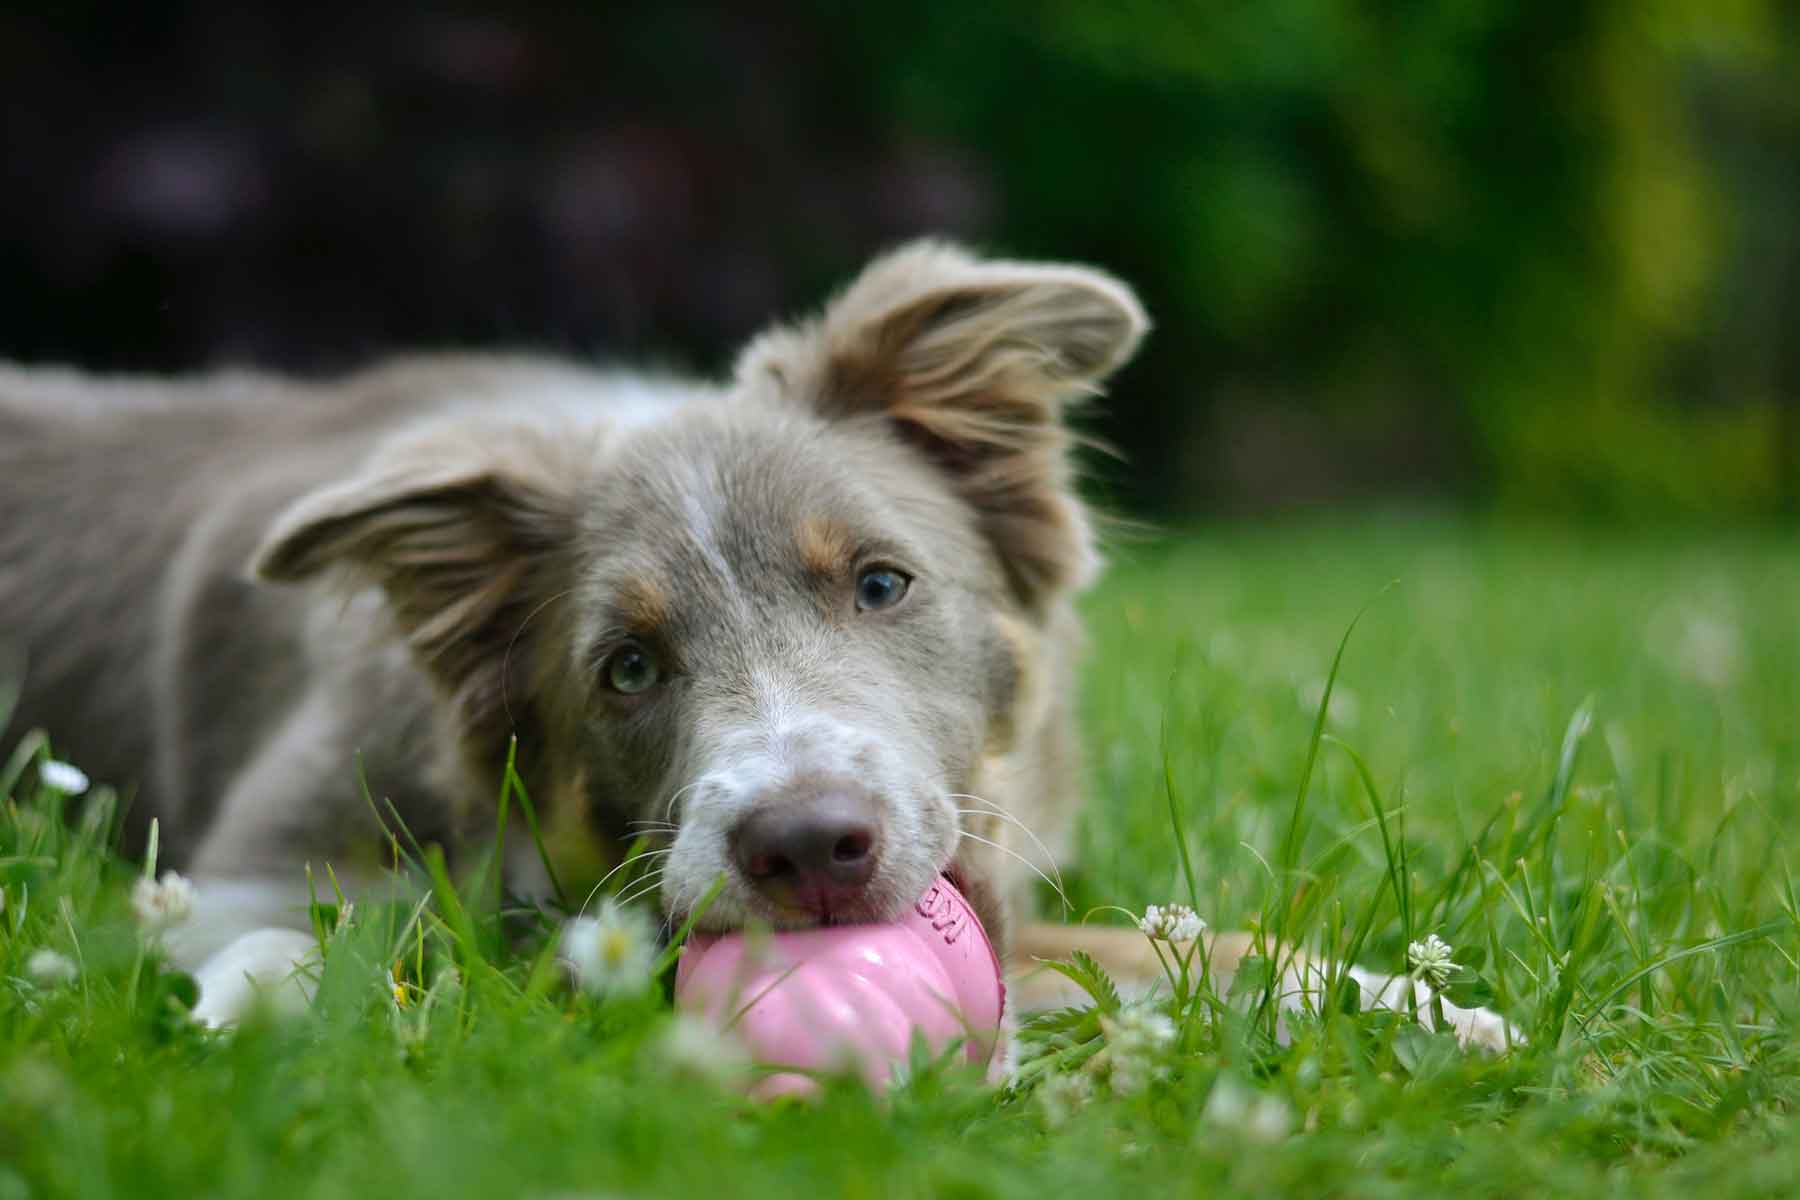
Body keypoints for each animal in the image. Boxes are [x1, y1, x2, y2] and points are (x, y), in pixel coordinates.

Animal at [0, 239, 1512, 1043]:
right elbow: (313, 940)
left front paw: (1418, 1010)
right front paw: (260, 1011)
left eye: (884, 585)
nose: (807, 851)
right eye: (627, 668)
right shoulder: (242, 869)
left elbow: (1169, 945)